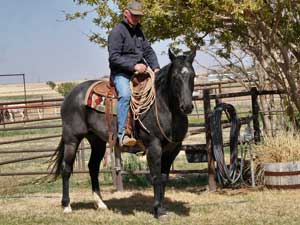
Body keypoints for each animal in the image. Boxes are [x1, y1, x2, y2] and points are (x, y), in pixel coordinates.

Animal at [50, 48, 196, 218]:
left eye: (193, 76)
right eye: (175, 77)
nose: (187, 106)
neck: (163, 106)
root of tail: (70, 96)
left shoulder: (173, 149)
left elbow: (164, 178)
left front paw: (163, 208)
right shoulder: (154, 147)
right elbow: (156, 177)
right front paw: (158, 210)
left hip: (97, 141)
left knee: (93, 167)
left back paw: (100, 203)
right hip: (72, 139)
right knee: (66, 168)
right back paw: (67, 205)